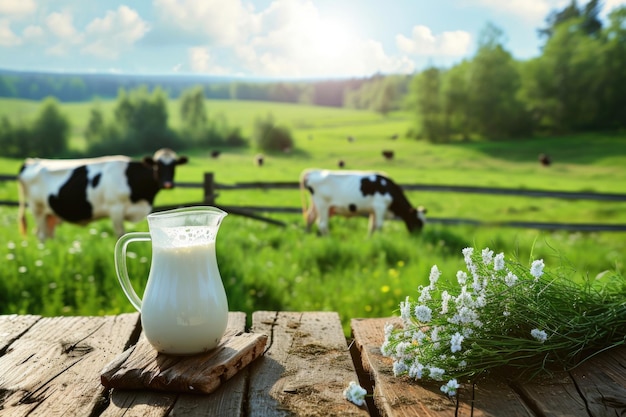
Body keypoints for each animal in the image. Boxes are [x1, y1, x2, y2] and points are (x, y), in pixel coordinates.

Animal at [17, 149, 188, 240]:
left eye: (174, 165)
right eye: (157, 165)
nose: (168, 184)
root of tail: (31, 161)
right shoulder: (116, 208)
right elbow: (120, 234)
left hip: (50, 214)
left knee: (46, 234)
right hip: (37, 209)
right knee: (41, 236)